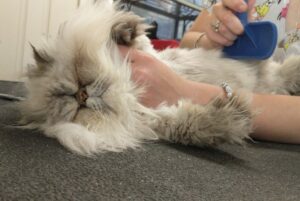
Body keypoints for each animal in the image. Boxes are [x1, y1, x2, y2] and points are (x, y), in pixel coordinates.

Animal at [19, 0, 300, 155]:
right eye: (75, 107)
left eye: (77, 82)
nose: (83, 95)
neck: (128, 92)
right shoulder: (157, 121)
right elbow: (187, 125)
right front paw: (231, 118)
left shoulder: (150, 55)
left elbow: (138, 41)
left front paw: (124, 29)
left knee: (283, 70)